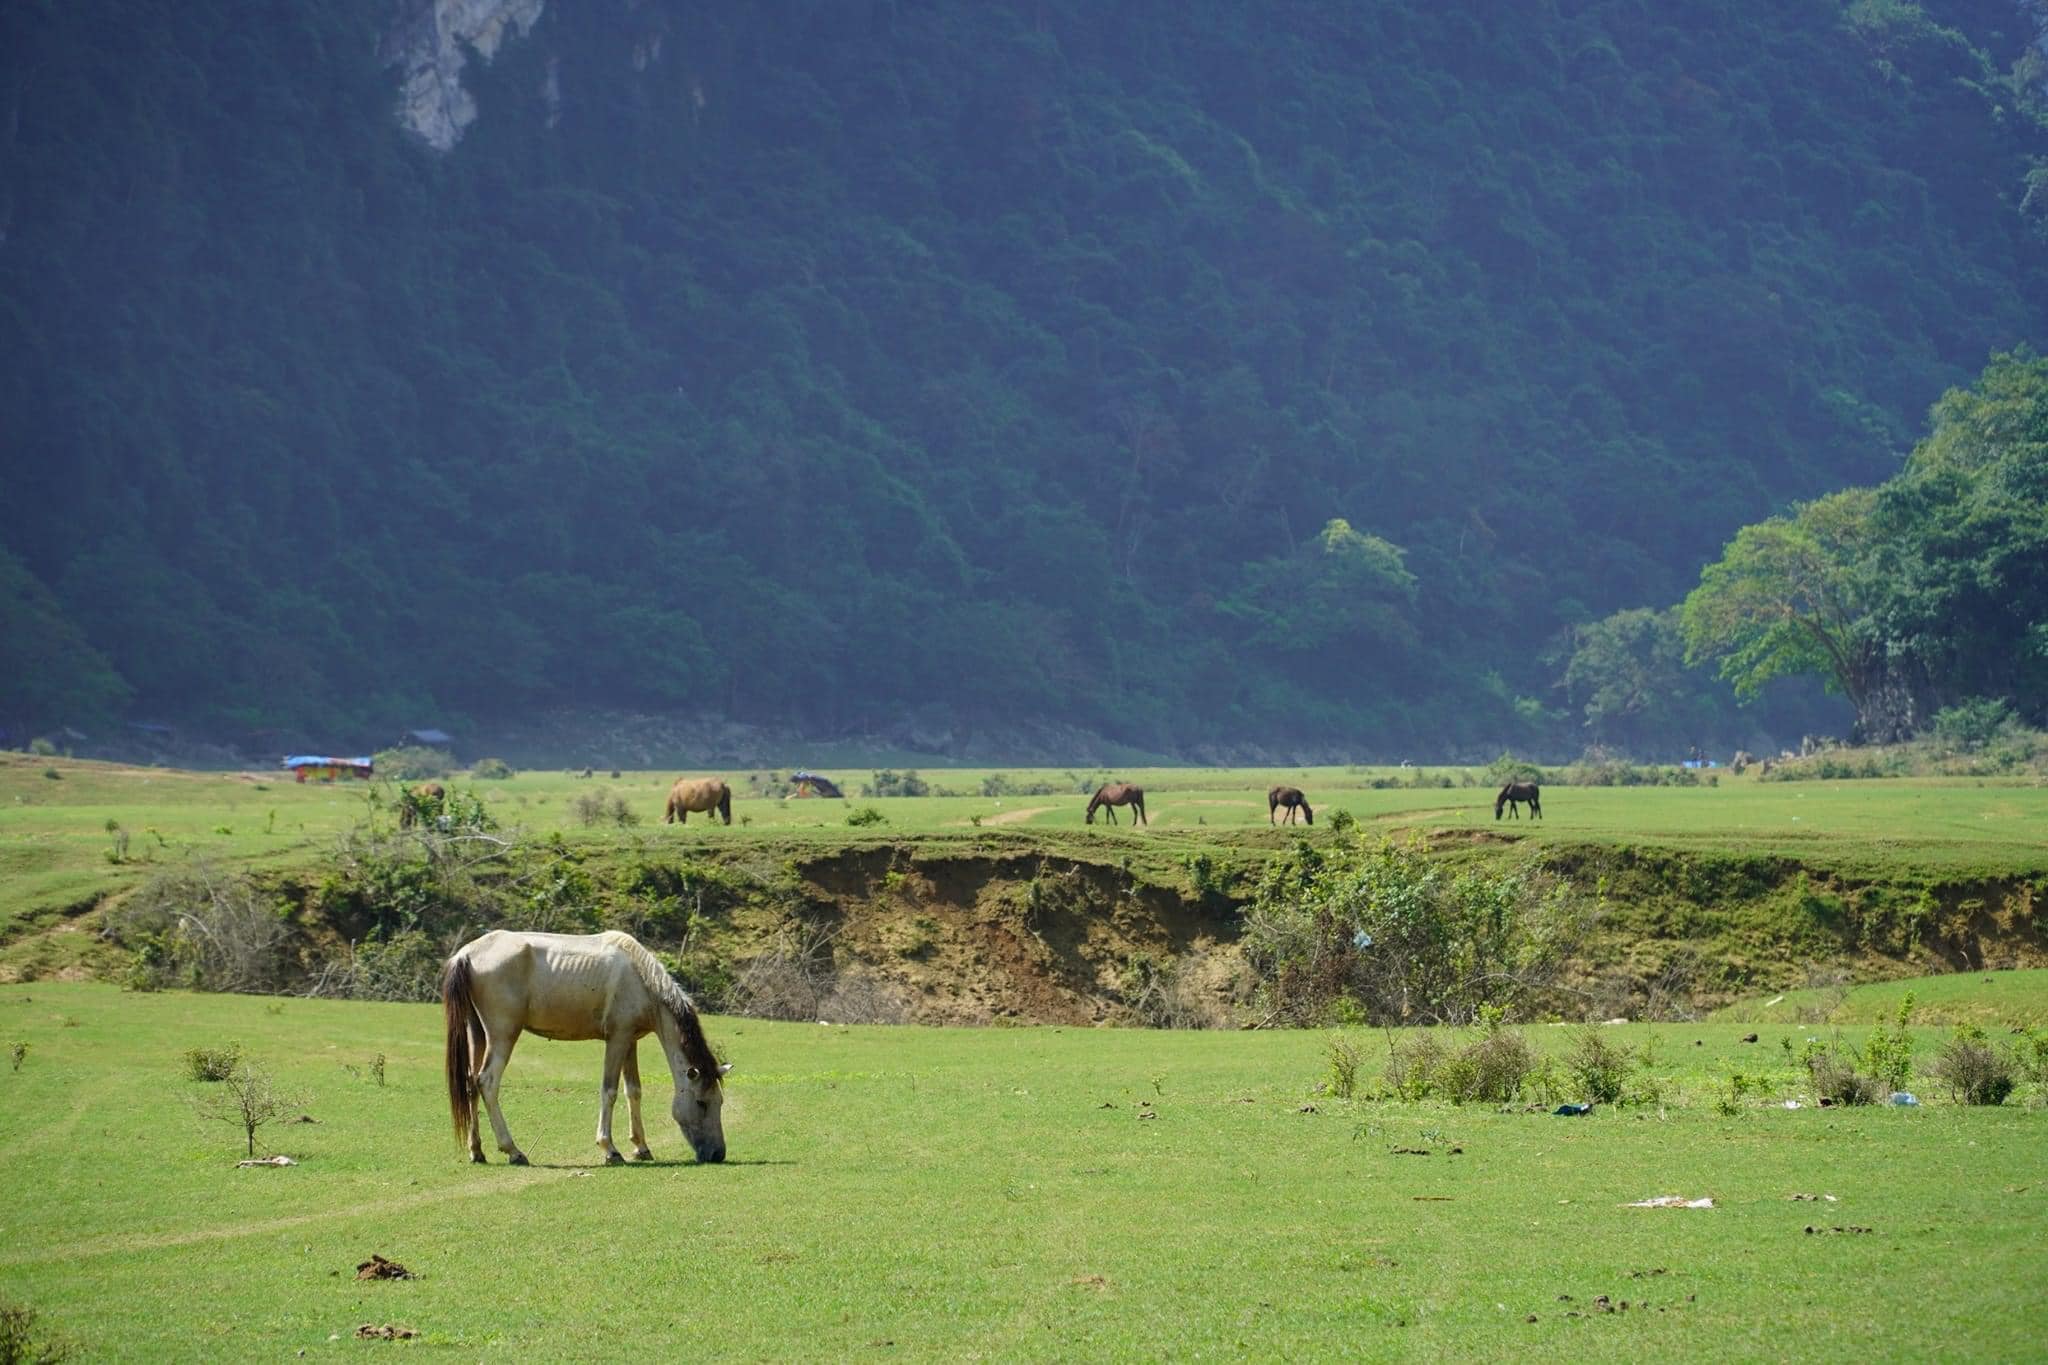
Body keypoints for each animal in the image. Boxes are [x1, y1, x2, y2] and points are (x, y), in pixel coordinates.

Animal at [444, 933, 733, 1170]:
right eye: (701, 1102)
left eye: (720, 1101)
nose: (718, 1154)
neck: (641, 978)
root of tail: (466, 954)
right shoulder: (617, 1038)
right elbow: (610, 1091)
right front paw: (610, 1149)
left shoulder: (630, 1041)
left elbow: (634, 1091)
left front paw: (641, 1147)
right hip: (503, 1035)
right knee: (487, 1082)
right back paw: (513, 1150)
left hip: (477, 1033)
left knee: (470, 1084)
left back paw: (476, 1151)